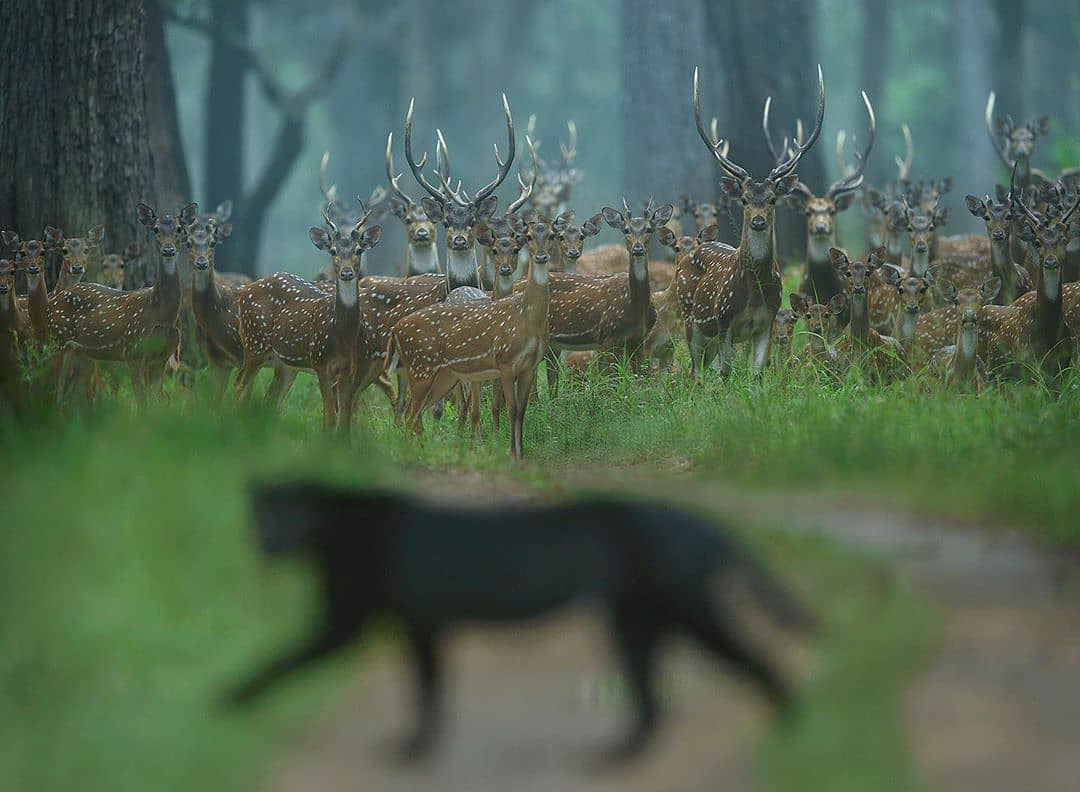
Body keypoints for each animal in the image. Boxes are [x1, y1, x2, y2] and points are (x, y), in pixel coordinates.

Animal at [388, 220, 557, 458]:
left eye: (552, 235)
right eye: (530, 236)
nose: (541, 256)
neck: (527, 319)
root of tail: (395, 330)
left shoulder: (530, 367)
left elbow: (521, 411)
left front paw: (520, 454)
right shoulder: (505, 361)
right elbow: (512, 409)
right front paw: (509, 453)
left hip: (443, 376)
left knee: (415, 412)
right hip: (421, 368)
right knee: (411, 414)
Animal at [691, 63, 825, 378]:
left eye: (774, 199)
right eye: (743, 199)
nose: (759, 222)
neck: (752, 294)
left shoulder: (767, 321)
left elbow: (757, 374)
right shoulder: (724, 319)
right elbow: (726, 372)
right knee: (694, 367)